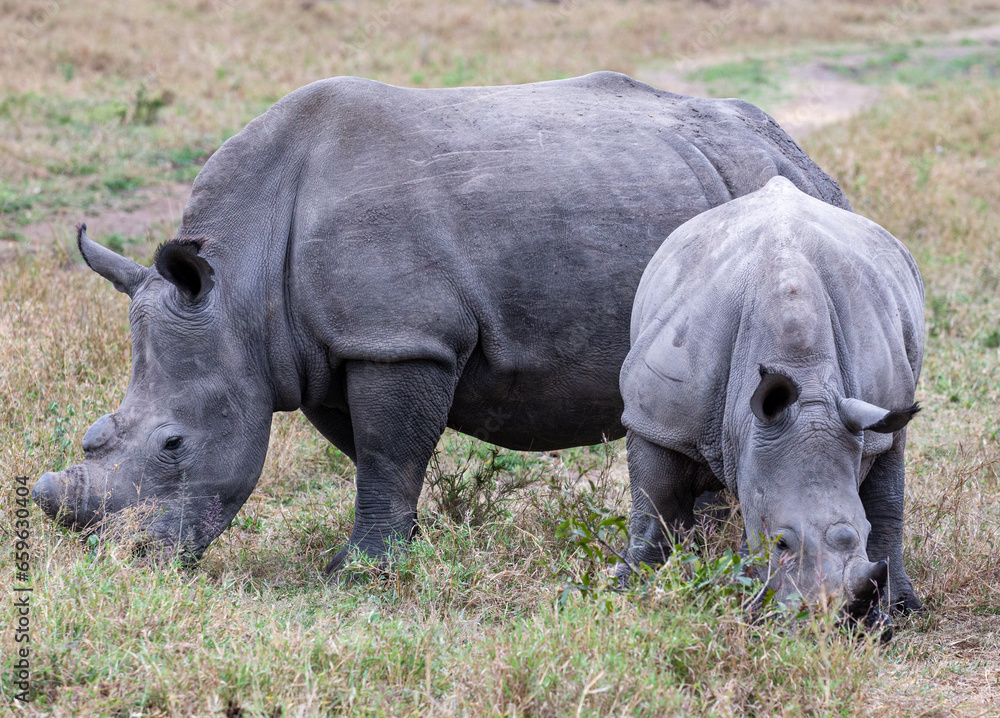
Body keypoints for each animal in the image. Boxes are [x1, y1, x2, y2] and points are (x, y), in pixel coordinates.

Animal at [33, 72, 851, 574]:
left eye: (174, 445)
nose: (126, 562)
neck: (238, 288)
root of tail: (798, 152)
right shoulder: (329, 349)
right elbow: (374, 455)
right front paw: (392, 554)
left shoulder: (399, 340)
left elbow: (388, 453)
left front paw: (359, 575)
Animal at [619, 176, 923, 617]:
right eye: (781, 542)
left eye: (862, 533)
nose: (834, 623)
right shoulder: (659, 419)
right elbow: (655, 505)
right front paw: (634, 595)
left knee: (892, 453)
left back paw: (901, 609)